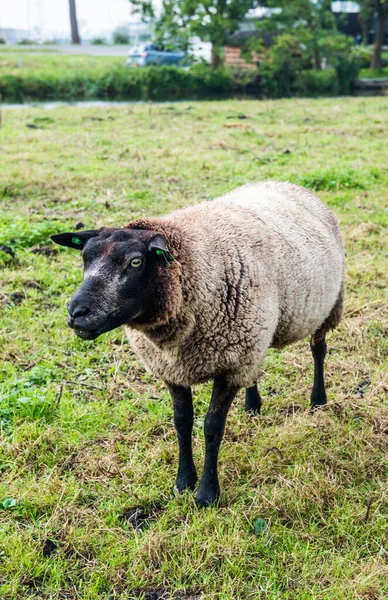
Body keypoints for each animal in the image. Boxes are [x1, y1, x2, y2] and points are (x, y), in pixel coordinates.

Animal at [51, 182, 346, 506]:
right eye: (85, 258)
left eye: (136, 262)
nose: (77, 312)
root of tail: (284, 183)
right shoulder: (175, 368)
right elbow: (182, 423)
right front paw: (183, 482)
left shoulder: (230, 366)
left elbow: (212, 427)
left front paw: (207, 493)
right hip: (256, 334)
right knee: (256, 367)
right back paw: (252, 405)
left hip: (328, 304)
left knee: (318, 350)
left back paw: (318, 399)